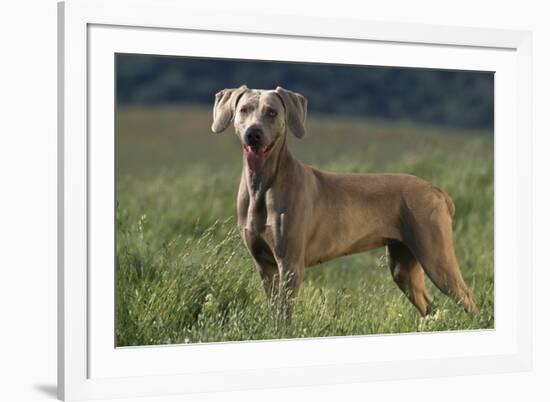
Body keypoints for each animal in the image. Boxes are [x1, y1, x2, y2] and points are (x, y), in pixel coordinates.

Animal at [211, 85, 478, 318]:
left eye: (271, 112)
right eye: (244, 110)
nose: (253, 134)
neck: (262, 186)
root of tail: (438, 191)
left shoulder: (290, 264)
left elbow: (285, 316)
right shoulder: (264, 265)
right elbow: (274, 312)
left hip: (436, 256)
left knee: (468, 299)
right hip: (404, 265)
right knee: (429, 307)